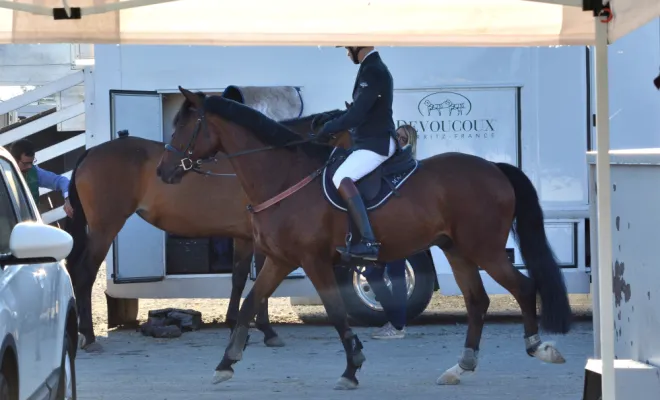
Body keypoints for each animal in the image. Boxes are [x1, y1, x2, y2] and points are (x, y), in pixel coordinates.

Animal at [63, 107, 349, 353]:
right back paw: (89, 336)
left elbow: (239, 278)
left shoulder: (244, 237)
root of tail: (91, 152)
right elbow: (259, 281)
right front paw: (267, 330)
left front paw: (235, 323)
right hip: (105, 228)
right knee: (84, 273)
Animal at [156, 87, 573, 391]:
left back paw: (537, 347)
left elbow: (336, 311)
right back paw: (461, 366)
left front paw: (351, 368)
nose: (163, 171)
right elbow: (248, 304)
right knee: (477, 301)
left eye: (183, 128)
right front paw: (226, 363)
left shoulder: (313, 261)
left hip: (484, 249)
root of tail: (495, 169)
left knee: (523, 287)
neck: (284, 176)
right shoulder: (279, 259)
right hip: (457, 250)